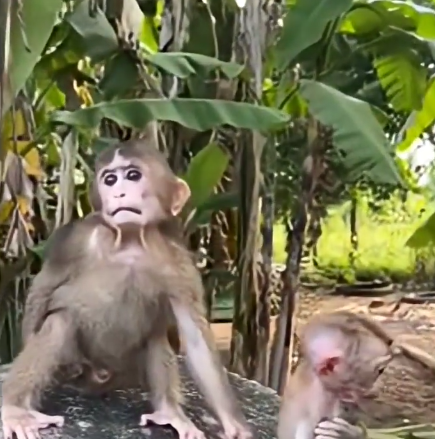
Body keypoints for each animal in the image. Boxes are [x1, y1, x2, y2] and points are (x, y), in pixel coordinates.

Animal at [1, 139, 252, 439]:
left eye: (133, 175)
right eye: (109, 179)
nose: (118, 192)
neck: (131, 241)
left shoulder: (179, 264)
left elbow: (194, 338)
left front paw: (235, 425)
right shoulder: (80, 238)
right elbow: (44, 288)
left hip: (126, 369)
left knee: (156, 338)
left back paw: (169, 411)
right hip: (82, 364)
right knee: (60, 322)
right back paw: (15, 409)